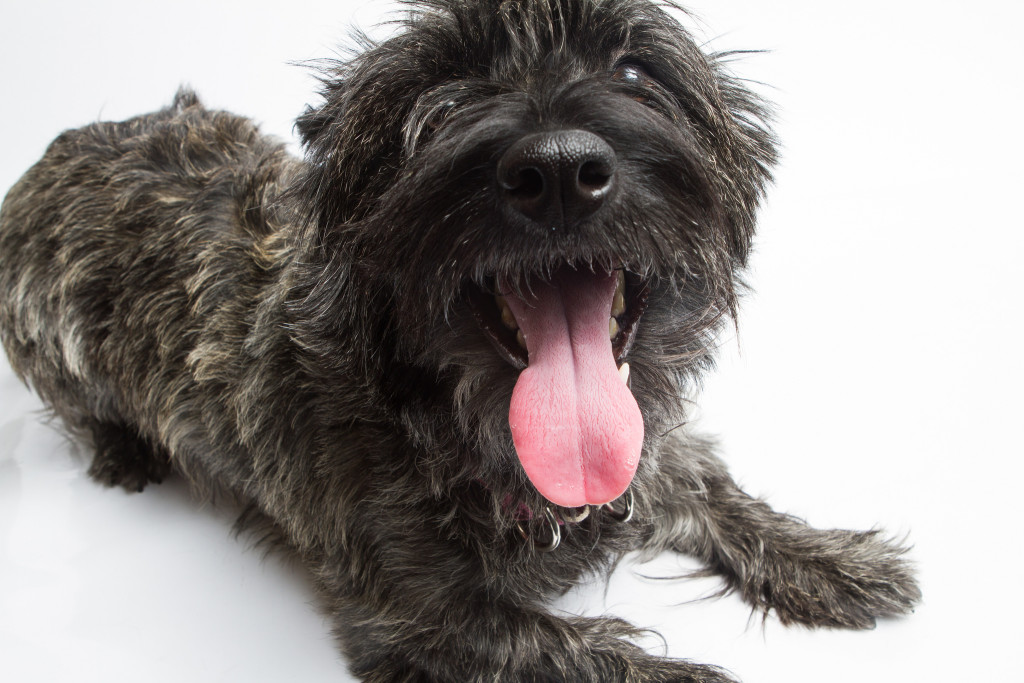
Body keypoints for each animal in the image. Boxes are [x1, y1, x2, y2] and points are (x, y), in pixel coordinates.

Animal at [0, 0, 921, 679]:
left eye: (633, 72)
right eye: (439, 99)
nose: (560, 169)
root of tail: (55, 152)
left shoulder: (653, 453)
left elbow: (715, 488)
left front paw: (836, 558)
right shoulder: (421, 619)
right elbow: (589, 653)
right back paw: (122, 450)